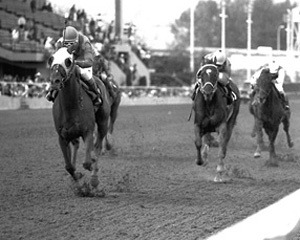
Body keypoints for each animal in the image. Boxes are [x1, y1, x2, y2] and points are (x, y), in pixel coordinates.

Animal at [48, 47, 120, 189]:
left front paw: (90, 174)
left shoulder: (87, 131)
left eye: (68, 61)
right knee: (77, 145)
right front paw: (77, 178)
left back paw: (95, 177)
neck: (71, 106)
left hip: (105, 117)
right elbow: (69, 167)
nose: (55, 81)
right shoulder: (62, 136)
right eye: (51, 59)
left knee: (100, 142)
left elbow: (87, 162)